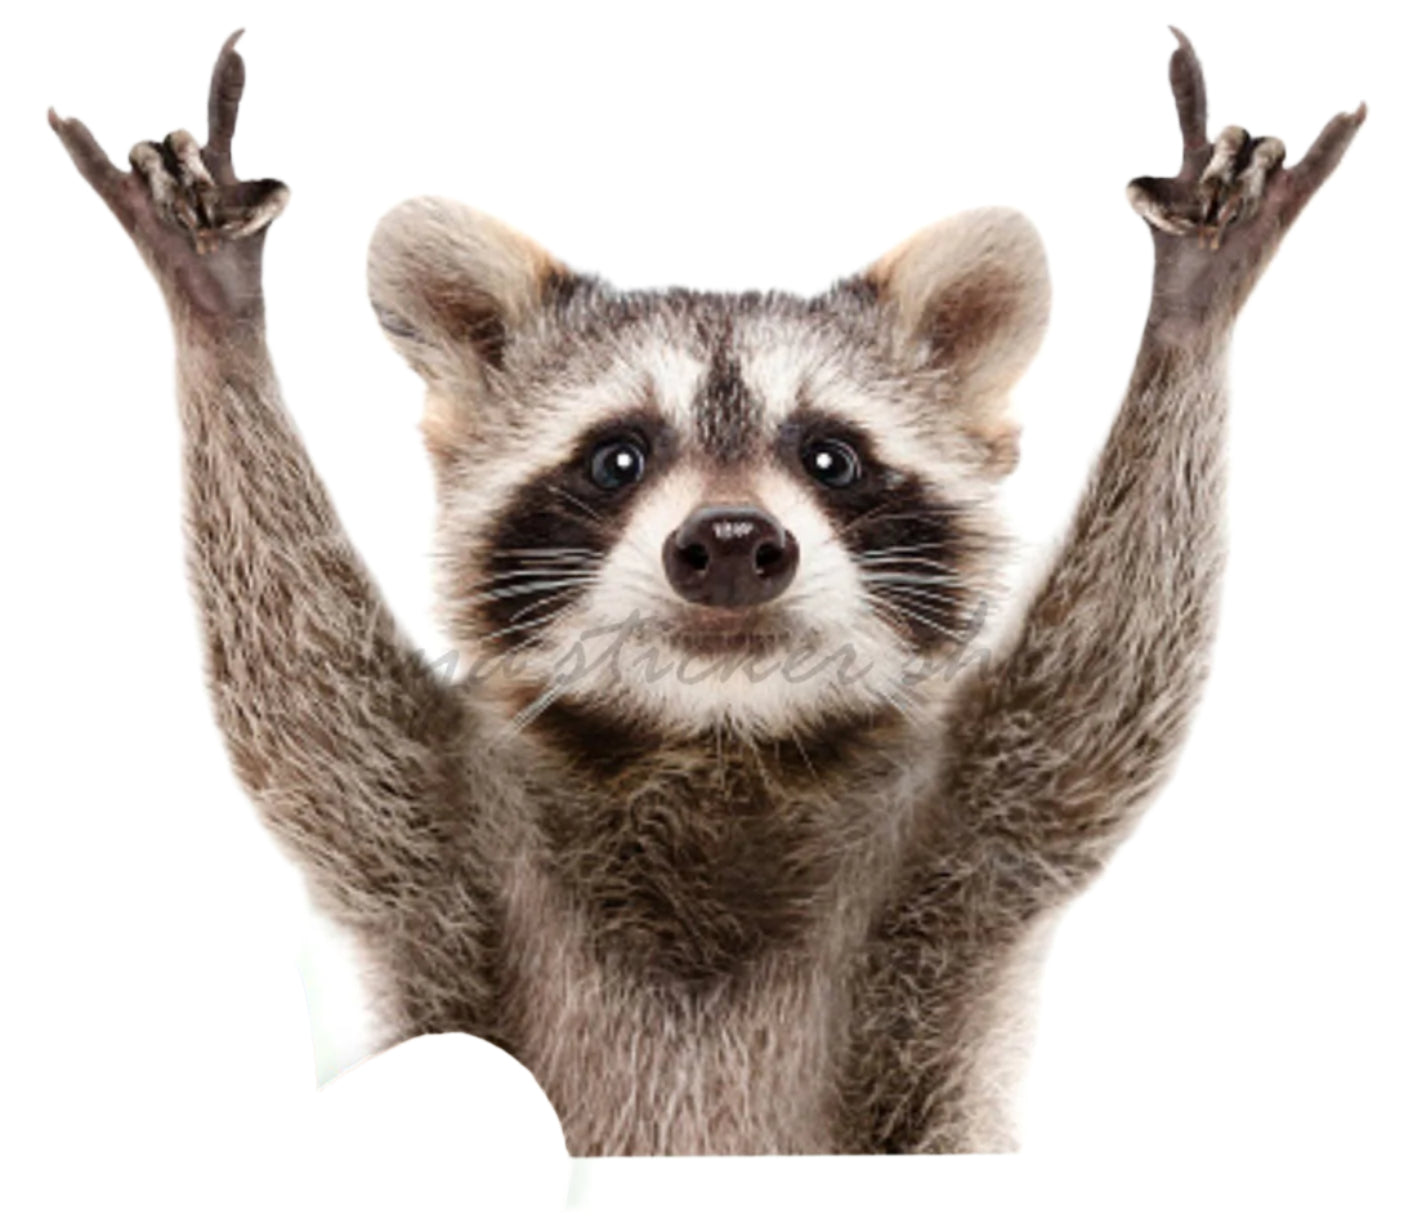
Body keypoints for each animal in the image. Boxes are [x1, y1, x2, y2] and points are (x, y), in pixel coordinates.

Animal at [50, 29, 1364, 1153]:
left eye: (829, 457)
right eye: (617, 457)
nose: (731, 542)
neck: (716, 734)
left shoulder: (966, 835)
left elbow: (1106, 684)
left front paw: (1190, 314)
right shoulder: (437, 826)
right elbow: (301, 689)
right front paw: (219, 320)